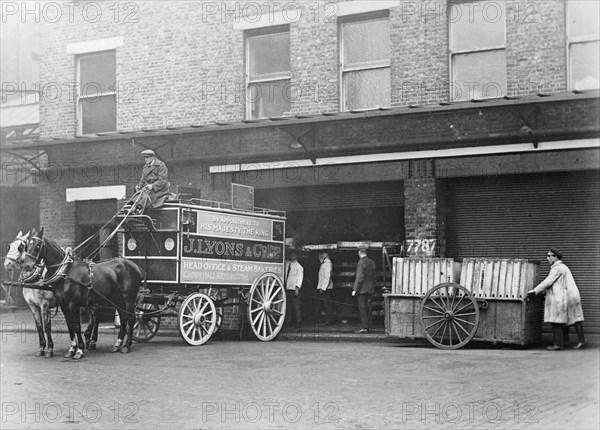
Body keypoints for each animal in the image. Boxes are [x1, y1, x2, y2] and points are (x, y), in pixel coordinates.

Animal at [21, 228, 144, 360]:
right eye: (27, 246)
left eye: (38, 245)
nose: (27, 265)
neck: (65, 272)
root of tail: (135, 266)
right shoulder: (63, 305)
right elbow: (70, 326)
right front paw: (71, 349)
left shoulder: (72, 304)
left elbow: (76, 326)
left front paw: (79, 350)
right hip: (117, 299)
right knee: (123, 317)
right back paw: (117, 344)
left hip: (128, 298)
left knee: (131, 318)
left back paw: (126, 345)